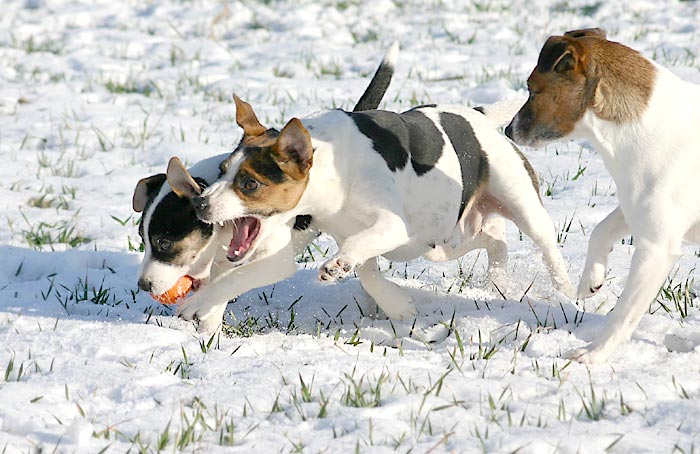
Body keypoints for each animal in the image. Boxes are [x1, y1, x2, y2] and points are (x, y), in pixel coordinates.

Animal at [193, 97, 576, 320]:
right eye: (222, 170)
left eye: (249, 183)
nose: (200, 202)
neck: (332, 168)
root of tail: (478, 116)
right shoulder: (353, 231)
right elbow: (366, 270)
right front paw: (393, 304)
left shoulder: (391, 226)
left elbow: (358, 249)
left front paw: (335, 266)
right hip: (443, 240)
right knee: (494, 237)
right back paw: (497, 280)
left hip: (519, 204)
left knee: (545, 245)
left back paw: (566, 294)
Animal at [506, 27, 700, 362]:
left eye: (531, 90)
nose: (508, 130)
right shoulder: (635, 208)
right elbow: (601, 230)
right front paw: (591, 281)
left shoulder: (656, 247)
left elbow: (625, 312)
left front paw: (595, 354)